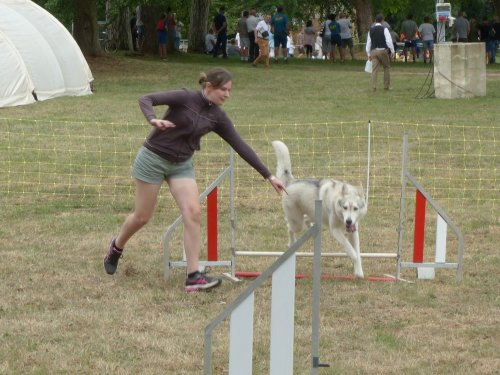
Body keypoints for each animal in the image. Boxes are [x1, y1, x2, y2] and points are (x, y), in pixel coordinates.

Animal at [274, 140, 368, 278]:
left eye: (355, 208)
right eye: (345, 207)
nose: (349, 221)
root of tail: (292, 182)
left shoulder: (353, 231)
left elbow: (358, 253)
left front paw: (359, 272)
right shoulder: (335, 231)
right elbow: (353, 252)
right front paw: (356, 268)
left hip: (310, 215)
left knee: (306, 220)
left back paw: (310, 227)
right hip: (296, 223)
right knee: (289, 227)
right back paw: (291, 243)